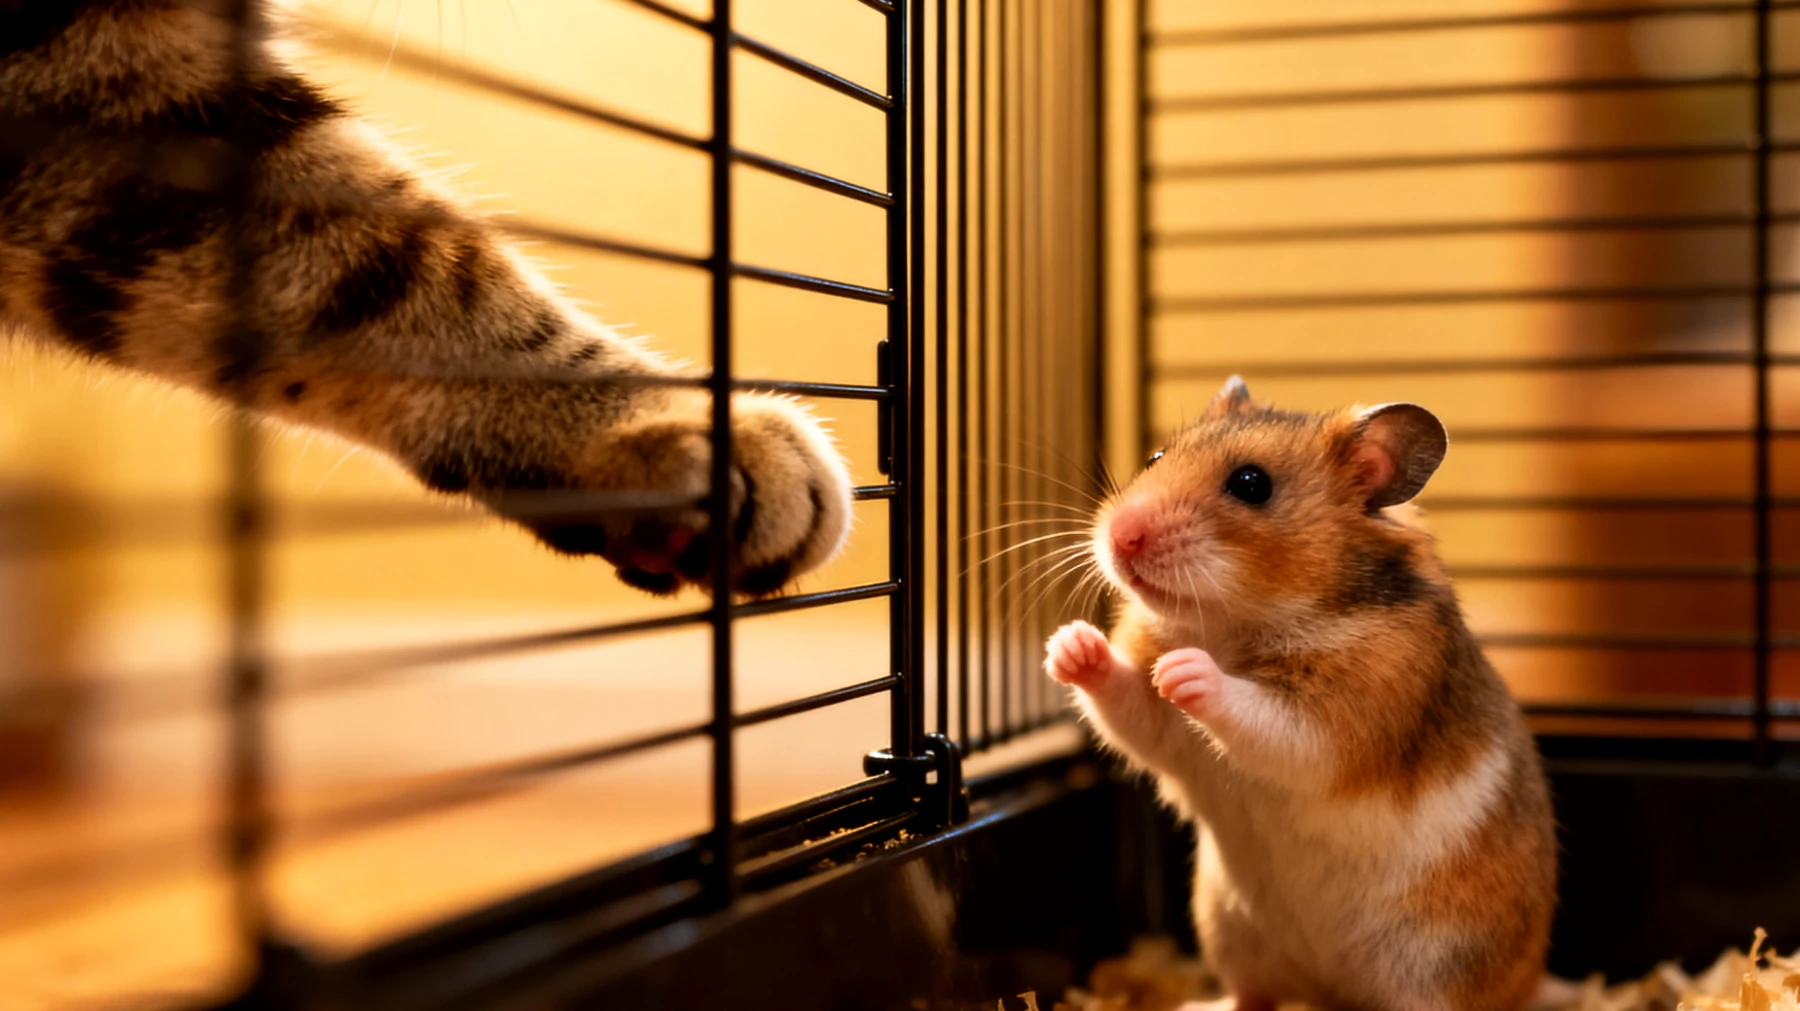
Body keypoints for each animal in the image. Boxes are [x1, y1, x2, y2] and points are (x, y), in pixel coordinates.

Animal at [1043, 377, 1556, 1011]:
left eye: (1251, 484)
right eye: (1156, 457)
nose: (1121, 537)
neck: (1231, 625)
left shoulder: (1347, 712)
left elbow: (1270, 722)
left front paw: (1184, 670)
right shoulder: (1162, 731)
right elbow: (1129, 705)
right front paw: (1069, 646)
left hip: (1438, 966)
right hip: (1232, 930)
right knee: (1253, 995)